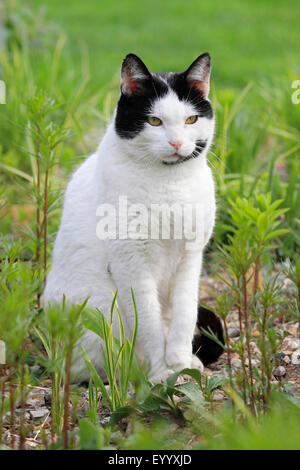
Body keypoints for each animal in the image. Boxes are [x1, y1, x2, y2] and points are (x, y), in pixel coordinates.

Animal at [44, 52, 223, 382]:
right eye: (154, 121)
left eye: (190, 119)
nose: (177, 143)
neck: (169, 183)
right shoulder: (132, 263)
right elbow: (149, 324)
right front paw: (161, 372)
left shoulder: (191, 257)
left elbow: (184, 314)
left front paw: (179, 362)